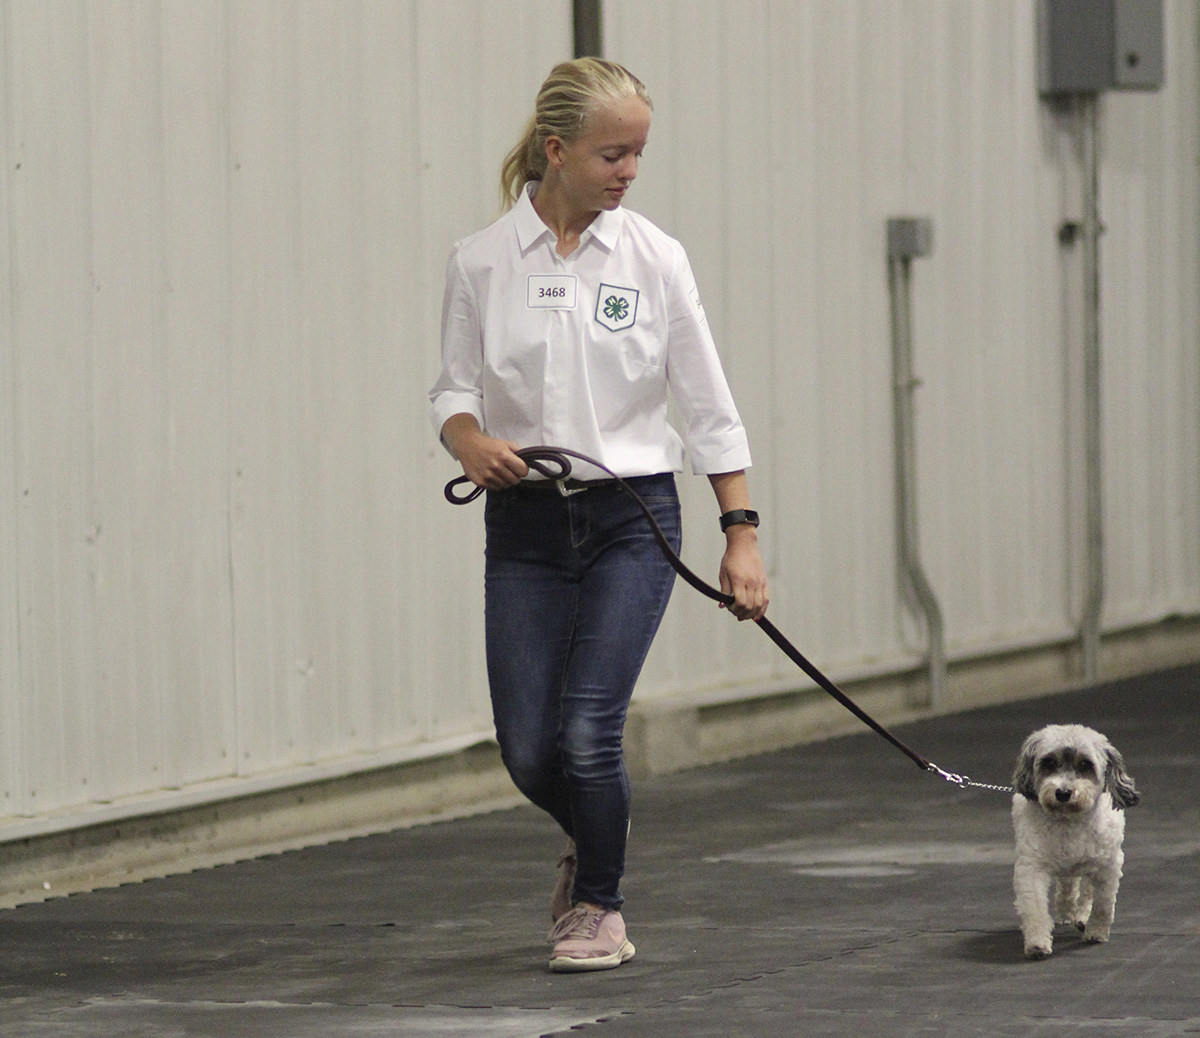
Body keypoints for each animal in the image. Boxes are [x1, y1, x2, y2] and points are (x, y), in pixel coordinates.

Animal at [1008, 724, 1137, 960]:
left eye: (1085, 765)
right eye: (1049, 763)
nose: (1063, 792)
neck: (1068, 821)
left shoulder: (1108, 865)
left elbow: (1103, 904)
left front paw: (1096, 931)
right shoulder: (1031, 867)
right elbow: (1034, 908)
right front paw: (1037, 944)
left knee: (1085, 891)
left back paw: (1081, 916)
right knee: (1067, 886)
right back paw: (1066, 912)